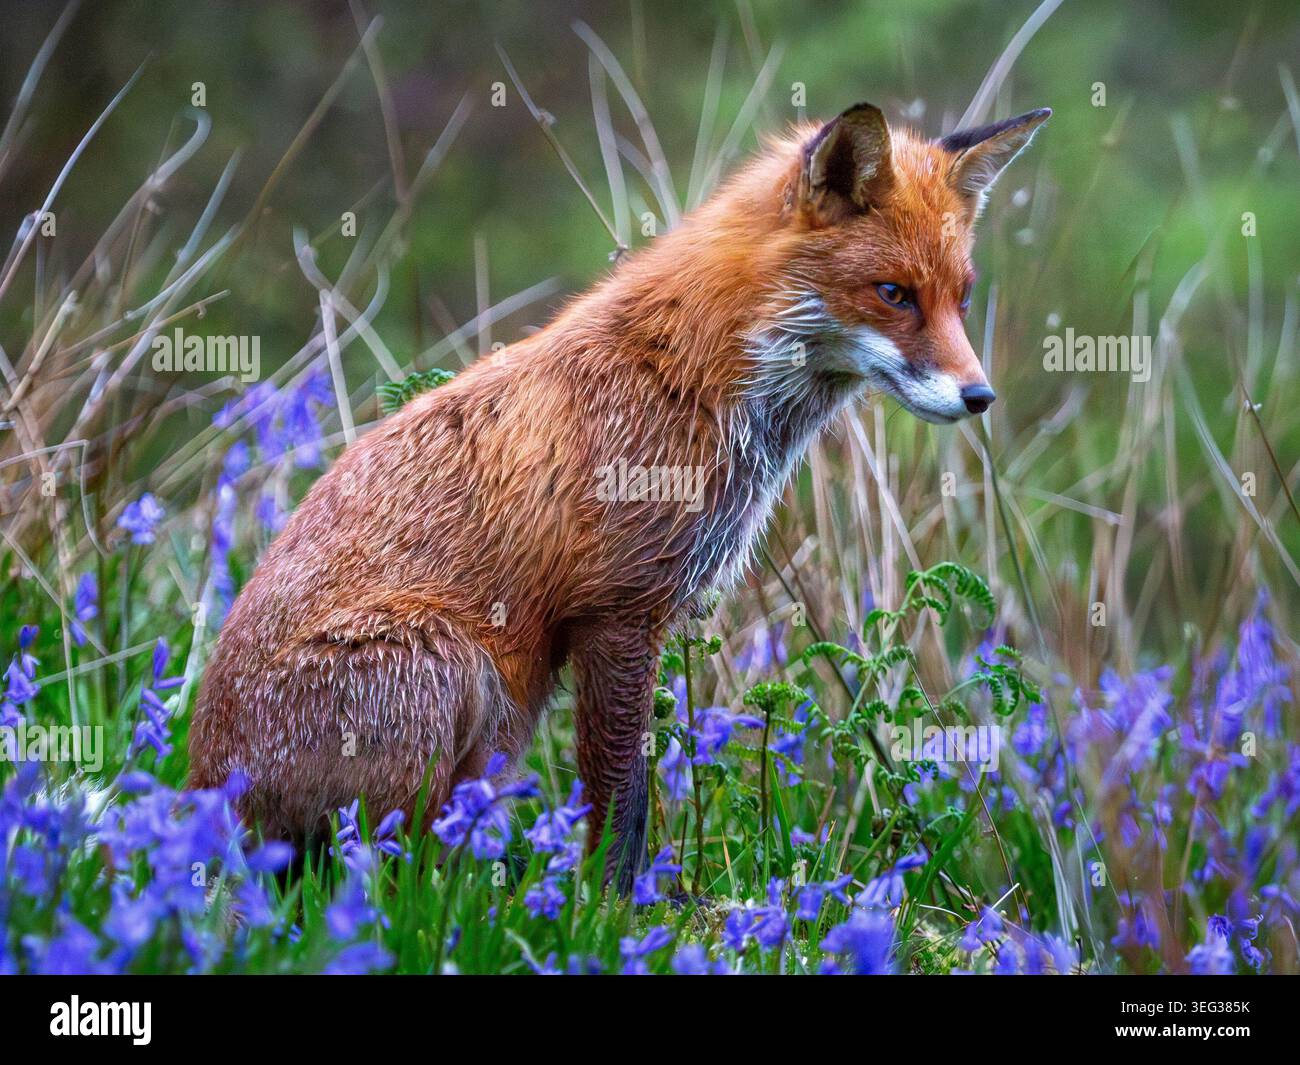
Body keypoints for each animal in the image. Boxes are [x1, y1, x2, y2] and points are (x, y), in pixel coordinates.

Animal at [189, 101, 1050, 887]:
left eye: (961, 299)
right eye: (894, 293)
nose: (980, 397)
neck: (691, 379)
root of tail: (203, 791)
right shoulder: (618, 611)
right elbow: (621, 803)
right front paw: (606, 914)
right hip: (449, 664)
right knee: (372, 871)